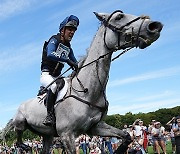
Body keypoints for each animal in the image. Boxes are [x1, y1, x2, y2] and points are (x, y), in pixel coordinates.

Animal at [0, 10, 163, 153]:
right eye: (119, 17)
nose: (154, 26)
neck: (88, 91)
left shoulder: (96, 127)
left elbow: (127, 136)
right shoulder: (67, 135)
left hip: (47, 135)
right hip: (20, 121)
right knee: (18, 135)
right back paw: (24, 146)